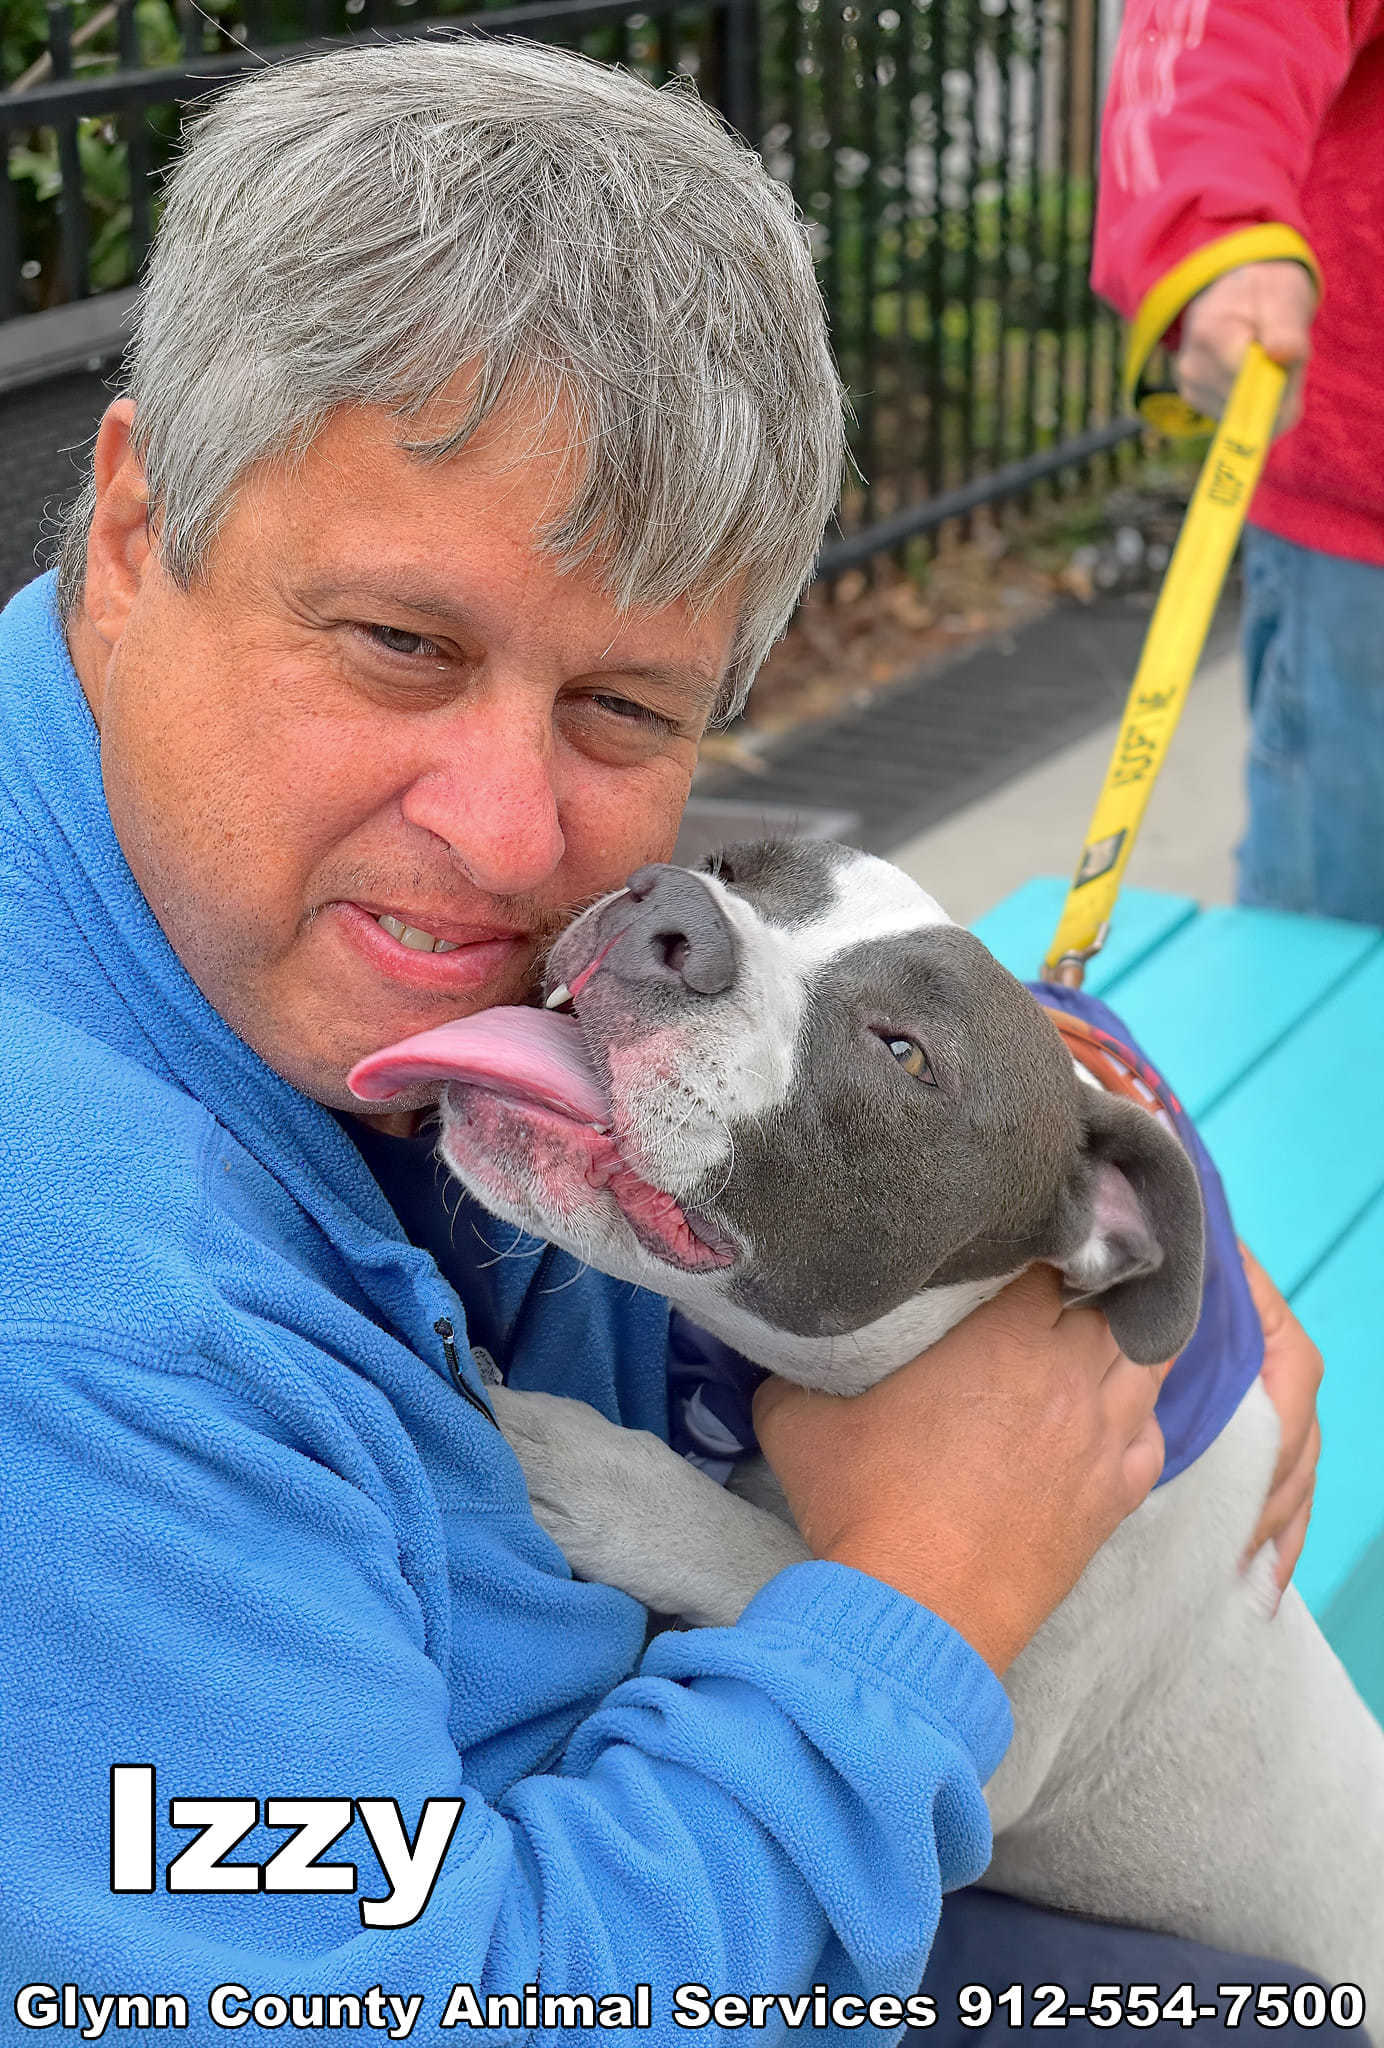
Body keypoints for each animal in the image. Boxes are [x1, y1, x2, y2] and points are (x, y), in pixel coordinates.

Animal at [352, 835, 1384, 1998]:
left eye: (906, 1053)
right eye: (733, 866)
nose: (668, 911)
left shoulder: (996, 1718)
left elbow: (779, 1561)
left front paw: (585, 1466)